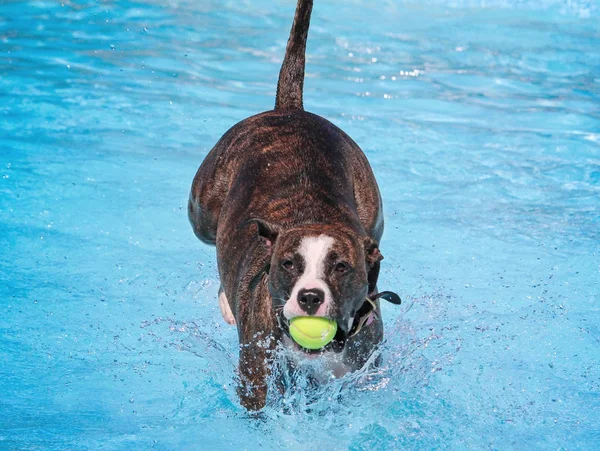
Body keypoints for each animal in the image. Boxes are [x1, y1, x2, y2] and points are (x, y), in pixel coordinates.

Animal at [190, 0, 400, 412]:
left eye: (340, 266)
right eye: (288, 264)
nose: (309, 296)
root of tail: (289, 108)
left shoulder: (361, 368)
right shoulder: (256, 374)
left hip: (374, 214)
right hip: (202, 210)